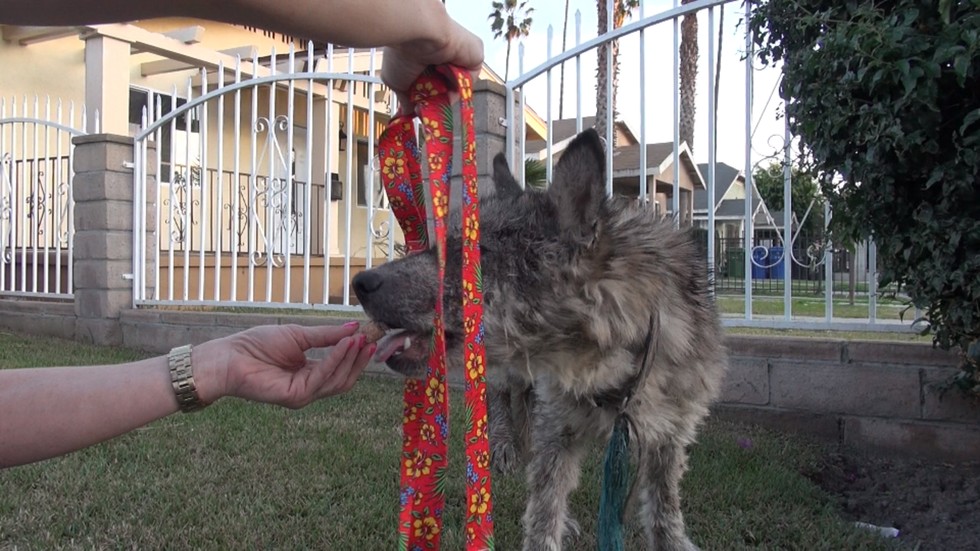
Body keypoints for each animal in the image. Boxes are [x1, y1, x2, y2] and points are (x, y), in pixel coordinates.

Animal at [352, 129, 727, 551]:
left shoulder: (669, 438)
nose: (359, 283)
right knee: (501, 401)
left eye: (472, 256)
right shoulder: (556, 431)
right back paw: (503, 446)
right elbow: (544, 511)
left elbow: (663, 512)